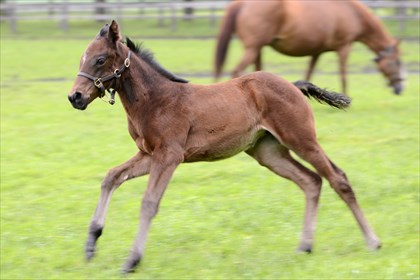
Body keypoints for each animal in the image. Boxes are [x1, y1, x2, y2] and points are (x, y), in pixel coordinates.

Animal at [68, 20, 380, 274]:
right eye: (81, 57)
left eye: (99, 59)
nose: (75, 97)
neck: (155, 100)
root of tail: (293, 85)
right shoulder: (148, 154)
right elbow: (111, 176)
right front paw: (91, 243)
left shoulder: (169, 156)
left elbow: (148, 203)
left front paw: (132, 261)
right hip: (268, 152)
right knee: (311, 180)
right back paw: (305, 246)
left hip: (301, 139)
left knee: (337, 178)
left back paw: (373, 241)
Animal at [215, 0, 406, 95]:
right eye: (397, 62)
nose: (400, 89)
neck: (351, 12)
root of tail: (241, 3)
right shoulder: (344, 47)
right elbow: (343, 75)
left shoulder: (316, 53)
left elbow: (309, 74)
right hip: (253, 48)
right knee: (236, 71)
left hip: (257, 49)